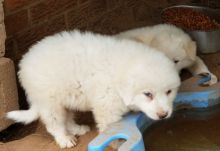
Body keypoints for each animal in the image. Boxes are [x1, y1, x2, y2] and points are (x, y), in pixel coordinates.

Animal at [6, 30, 180, 148]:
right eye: (148, 94)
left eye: (169, 92)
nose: (163, 115)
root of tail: (25, 60)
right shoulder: (107, 107)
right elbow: (112, 131)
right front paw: (117, 145)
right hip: (50, 101)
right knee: (55, 123)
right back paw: (65, 139)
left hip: (66, 95)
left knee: (68, 117)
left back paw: (77, 129)